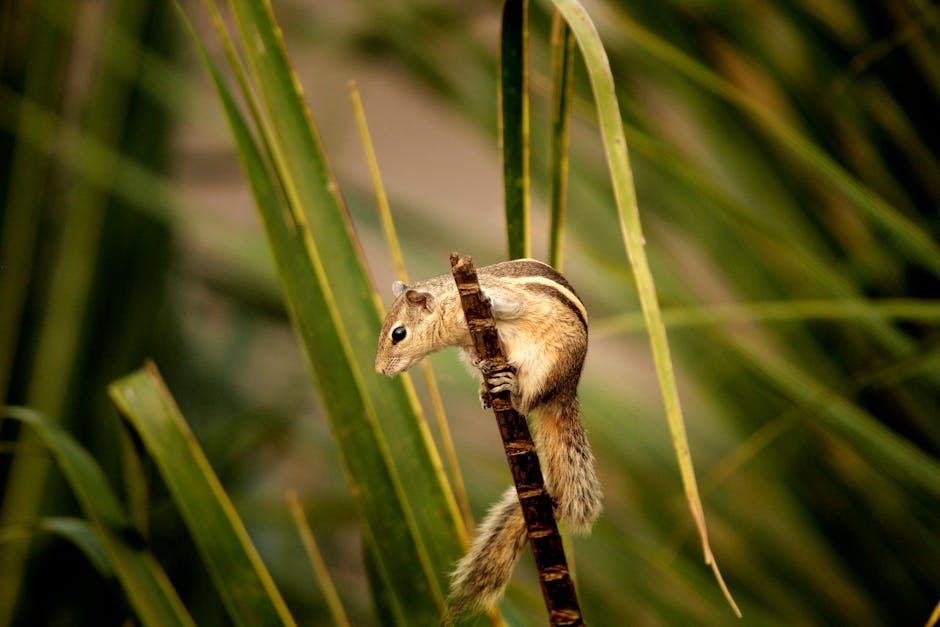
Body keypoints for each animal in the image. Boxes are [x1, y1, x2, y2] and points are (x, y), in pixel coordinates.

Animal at [374, 258, 602, 616]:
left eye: (399, 333)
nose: (379, 370)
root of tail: (567, 391)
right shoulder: (467, 346)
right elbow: (473, 357)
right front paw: (480, 373)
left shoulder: (507, 299)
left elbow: (511, 303)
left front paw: (490, 301)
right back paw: (488, 389)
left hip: (547, 369)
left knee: (528, 402)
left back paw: (511, 388)